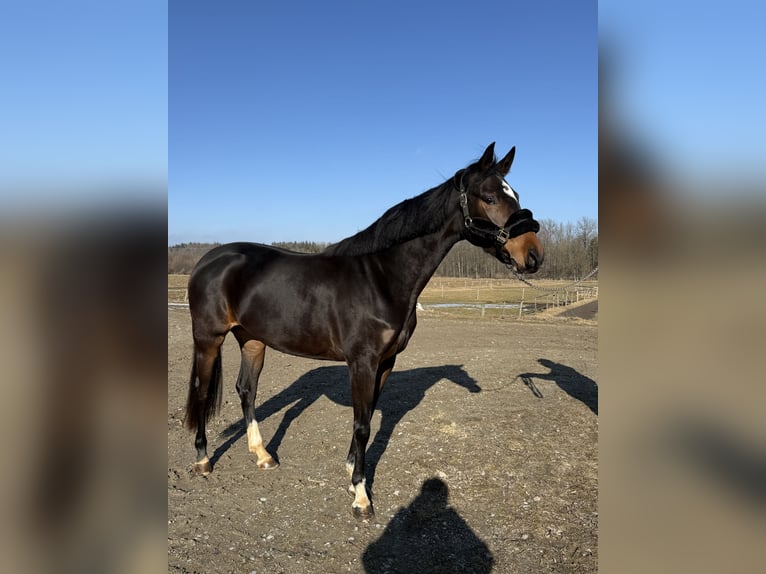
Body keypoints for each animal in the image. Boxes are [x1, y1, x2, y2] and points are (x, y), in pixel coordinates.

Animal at [184, 142, 543, 518]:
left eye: (515, 195)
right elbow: (361, 424)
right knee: (202, 391)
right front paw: (360, 496)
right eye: (489, 198)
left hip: (252, 339)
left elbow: (368, 417)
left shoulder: (385, 363)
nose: (533, 255)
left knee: (247, 391)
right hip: (208, 339)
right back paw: (203, 460)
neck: (382, 278)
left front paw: (351, 471)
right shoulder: (362, 362)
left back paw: (263, 455)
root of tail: (209, 260)